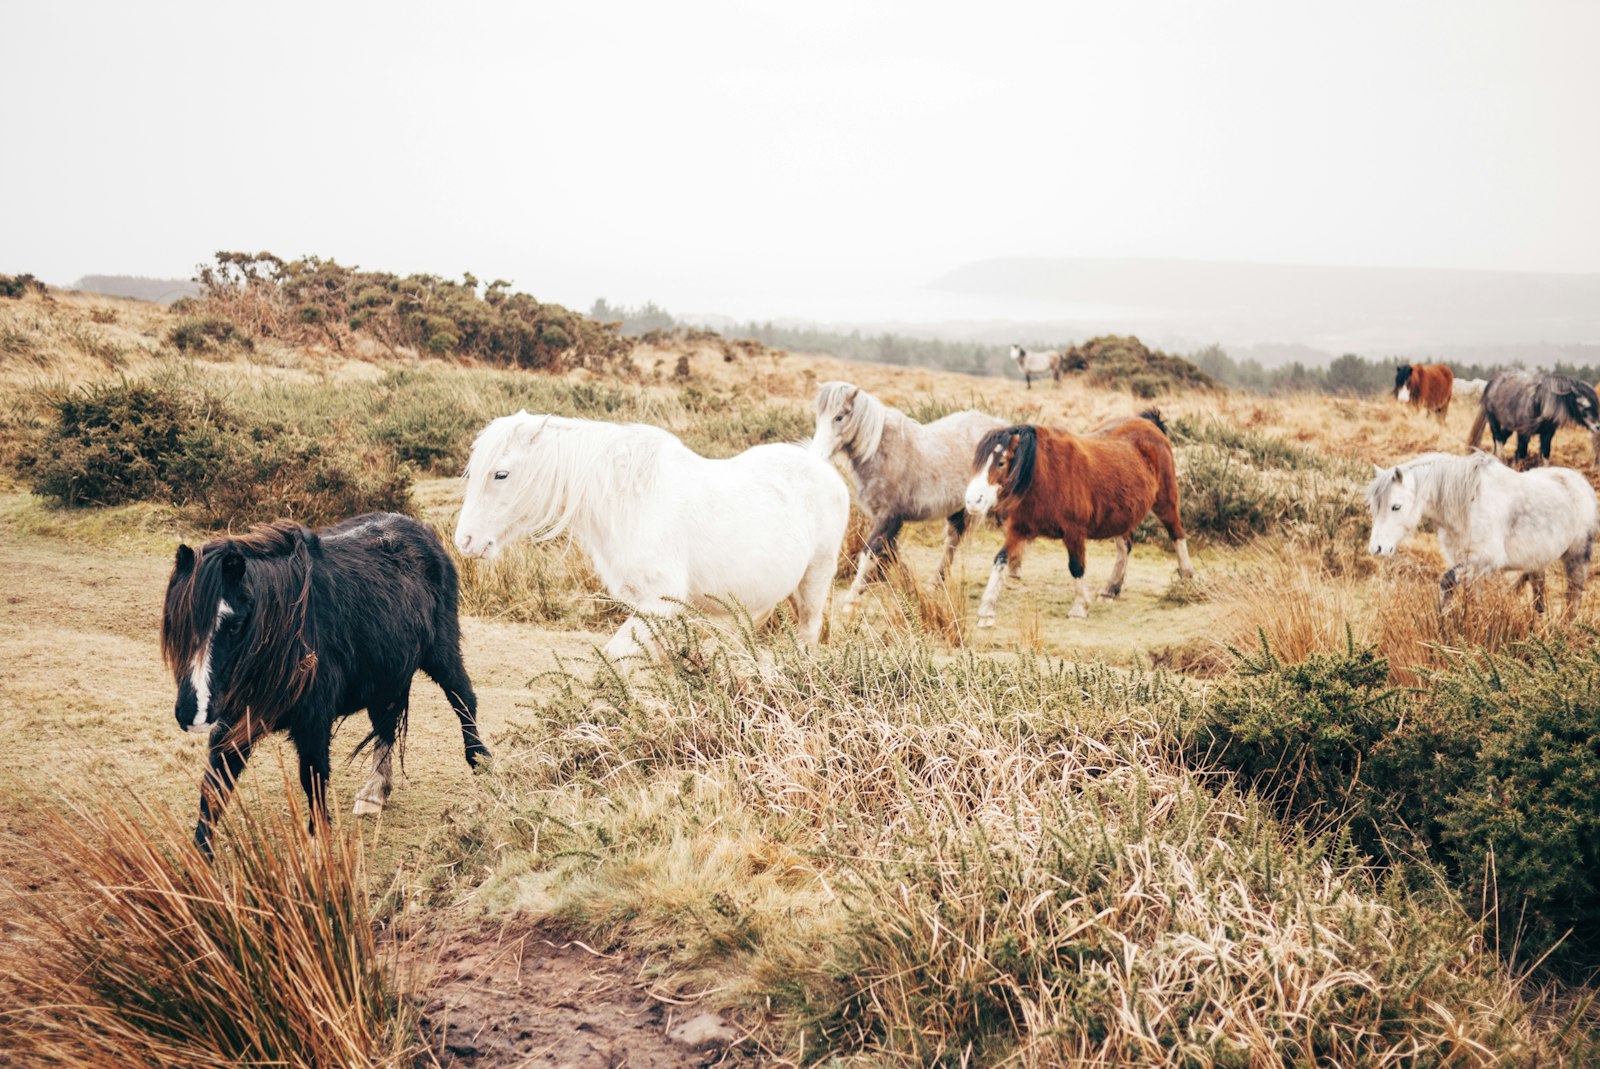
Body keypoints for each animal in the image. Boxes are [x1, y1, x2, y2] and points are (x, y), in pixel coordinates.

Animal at [161, 512, 489, 857]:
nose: (193, 713)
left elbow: (313, 778)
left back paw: (481, 761)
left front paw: (319, 849)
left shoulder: (313, 721)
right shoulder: (234, 720)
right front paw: (201, 858)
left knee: (463, 699)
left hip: (441, 652)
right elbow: (215, 784)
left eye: (235, 624)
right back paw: (374, 793)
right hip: (385, 676)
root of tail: (422, 532)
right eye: (176, 623)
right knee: (385, 725)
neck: (290, 630)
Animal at [454, 412, 851, 656]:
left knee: (808, 633)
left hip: (815, 581)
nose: (466, 541)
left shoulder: (658, 603)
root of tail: (819, 463)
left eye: (501, 474)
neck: (631, 502)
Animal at [953, 409, 1196, 627]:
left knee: (1177, 534)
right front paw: (986, 611)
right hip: (1122, 514)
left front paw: (1079, 607)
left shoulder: (1074, 533)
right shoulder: (1020, 530)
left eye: (1001, 463)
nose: (973, 501)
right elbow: (1000, 560)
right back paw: (1111, 589)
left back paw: (1187, 580)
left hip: (1166, 501)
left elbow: (1076, 566)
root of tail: (1151, 425)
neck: (1045, 476)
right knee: (1125, 546)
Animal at [1363, 451, 1600, 614]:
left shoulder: (1484, 561)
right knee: (1539, 598)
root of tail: (1582, 483)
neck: (1469, 504)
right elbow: (1471, 600)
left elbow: (1447, 581)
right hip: (1537, 563)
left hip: (1577, 558)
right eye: (1373, 507)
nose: (1377, 548)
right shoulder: (1468, 565)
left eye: (1396, 507)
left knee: (1573, 600)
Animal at [1465, 368, 1600, 467]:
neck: (1540, 402)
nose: (1597, 426)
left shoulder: (1547, 435)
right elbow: (1521, 453)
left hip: (1509, 427)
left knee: (1501, 439)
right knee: (1497, 438)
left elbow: (1545, 454)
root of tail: (1492, 382)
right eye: (1584, 405)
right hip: (1493, 420)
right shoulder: (1524, 433)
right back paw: (1500, 458)